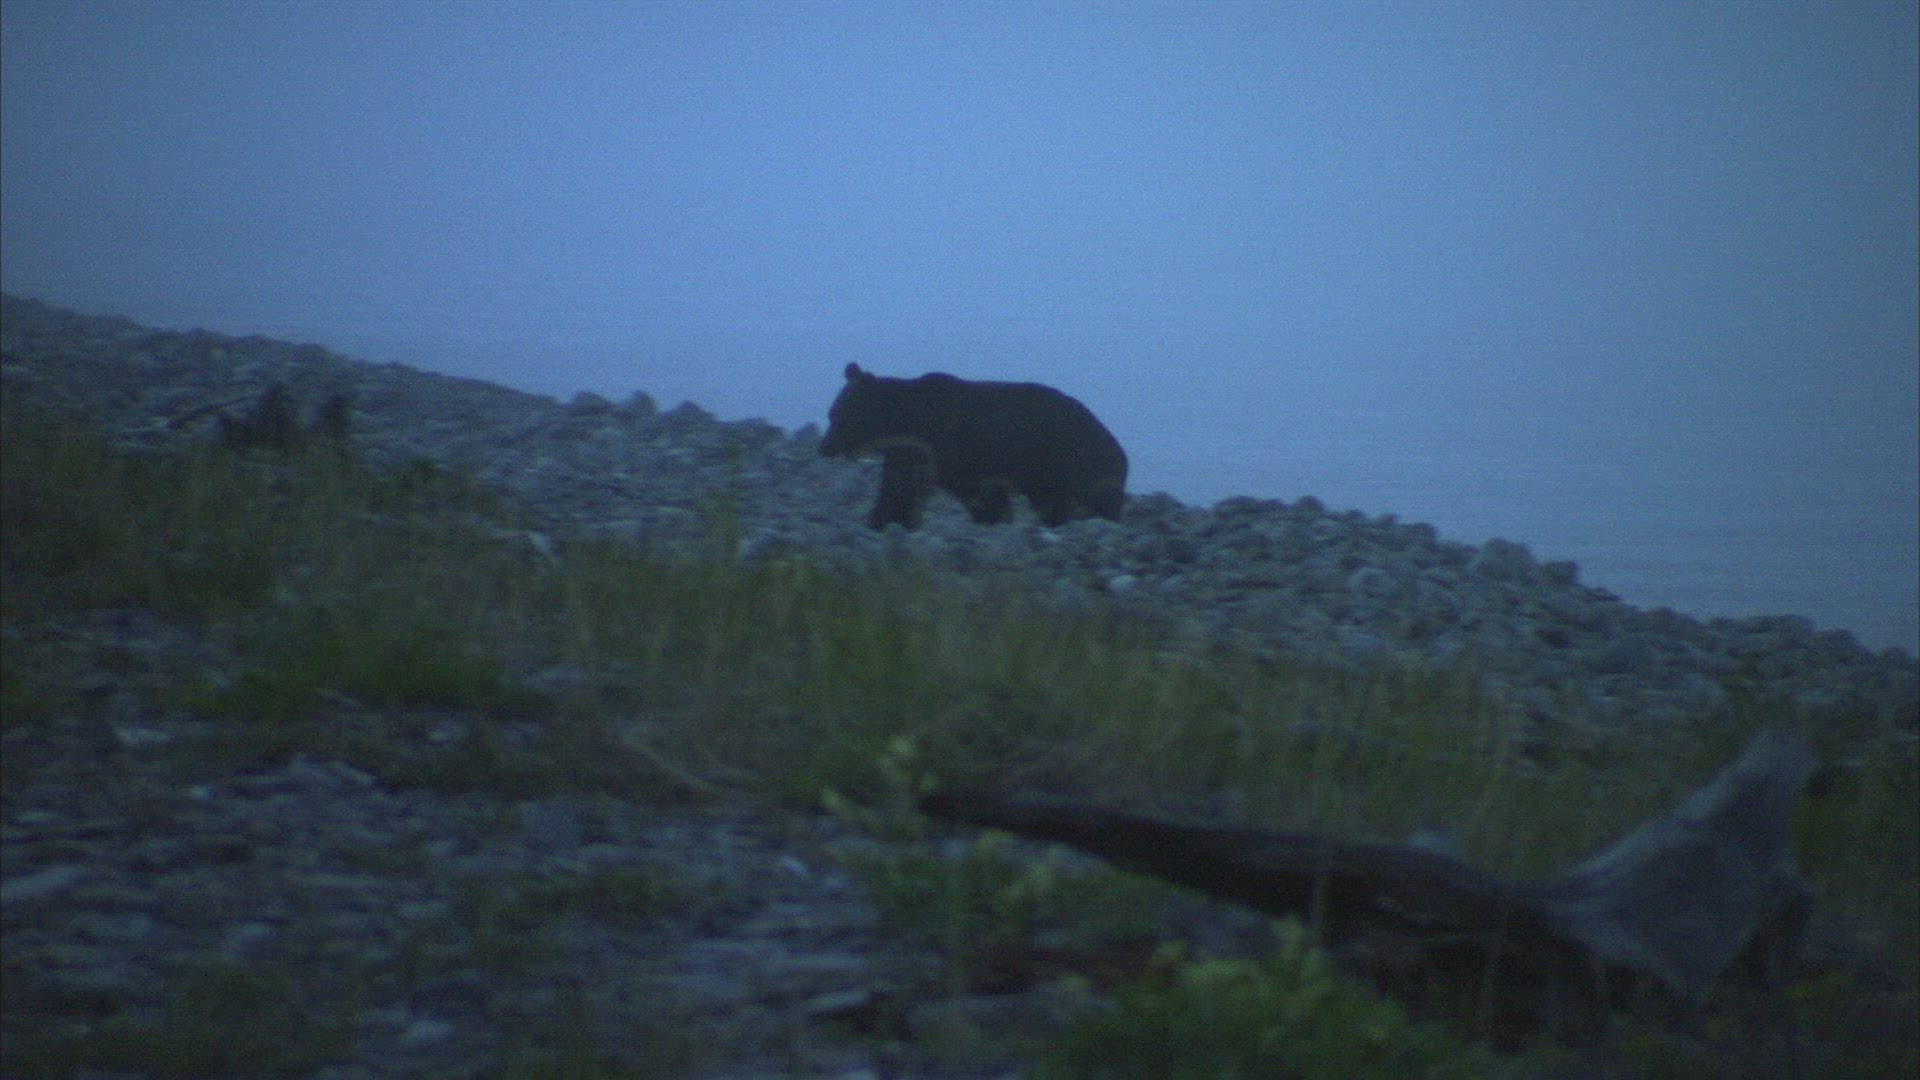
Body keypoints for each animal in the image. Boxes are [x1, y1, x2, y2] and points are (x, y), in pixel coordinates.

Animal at [819, 362, 1128, 529]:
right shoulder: (911, 454)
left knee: (1080, 501)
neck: (911, 424)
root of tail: (1122, 454)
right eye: (831, 414)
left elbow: (978, 491)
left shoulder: (958, 448)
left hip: (1072, 461)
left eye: (840, 417)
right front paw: (886, 521)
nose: (824, 447)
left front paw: (994, 517)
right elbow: (899, 491)